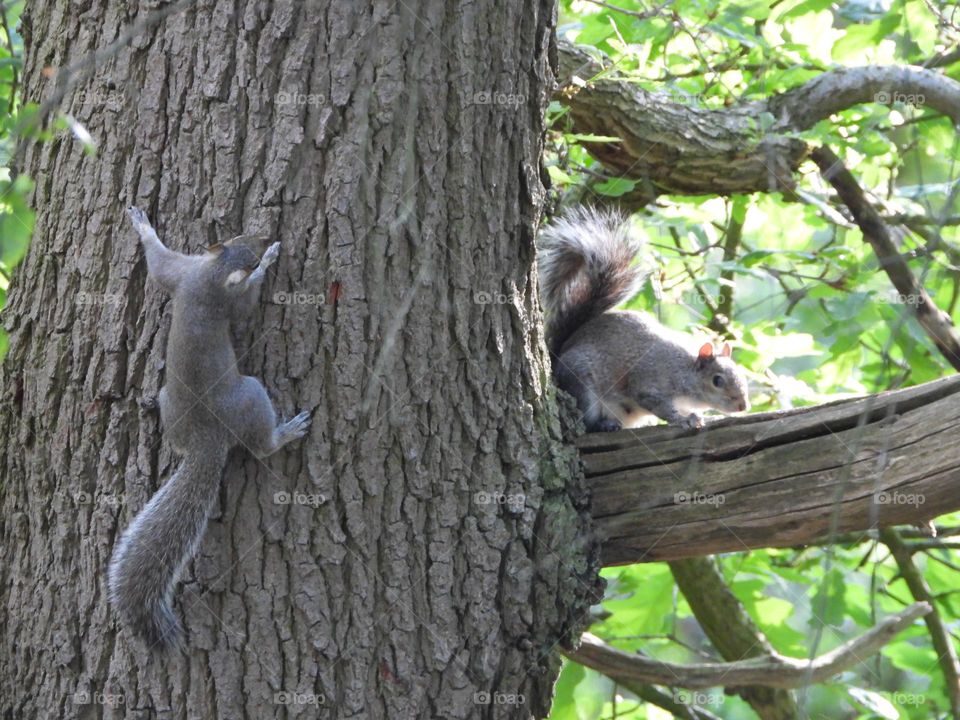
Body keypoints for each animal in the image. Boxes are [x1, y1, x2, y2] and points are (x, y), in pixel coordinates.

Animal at [107, 207, 312, 652]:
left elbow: (159, 264)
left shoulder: (182, 272)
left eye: (240, 234)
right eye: (247, 251)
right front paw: (269, 264)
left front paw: (142, 225)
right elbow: (246, 304)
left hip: (169, 404)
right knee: (260, 446)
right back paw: (286, 432)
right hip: (250, 396)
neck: (211, 272)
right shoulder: (226, 298)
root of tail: (206, 441)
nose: (265, 236)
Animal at [539, 207, 750, 433]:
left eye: (740, 374)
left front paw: (701, 416)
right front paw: (682, 419)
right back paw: (604, 424)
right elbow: (659, 405)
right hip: (582, 380)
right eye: (717, 380)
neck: (684, 370)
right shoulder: (648, 384)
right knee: (587, 420)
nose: (743, 406)